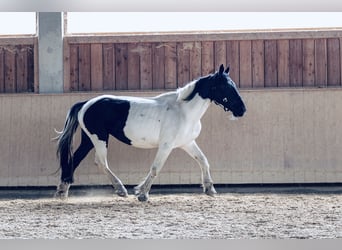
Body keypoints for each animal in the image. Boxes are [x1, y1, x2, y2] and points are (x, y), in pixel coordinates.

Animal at [54, 64, 246, 201]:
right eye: (225, 87)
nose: (242, 110)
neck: (184, 112)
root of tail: (86, 103)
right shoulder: (166, 146)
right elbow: (155, 168)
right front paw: (142, 194)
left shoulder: (187, 143)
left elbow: (203, 161)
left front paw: (210, 189)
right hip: (99, 138)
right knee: (101, 162)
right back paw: (121, 189)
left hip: (89, 139)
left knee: (75, 159)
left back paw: (62, 191)